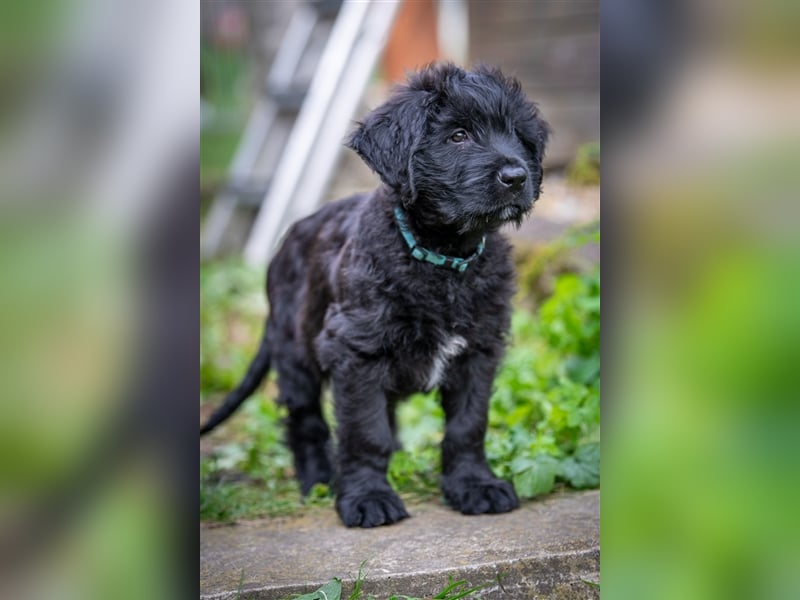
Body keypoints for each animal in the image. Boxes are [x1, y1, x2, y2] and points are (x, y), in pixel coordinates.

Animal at [202, 63, 552, 528]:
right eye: (458, 135)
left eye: (517, 134)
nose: (516, 177)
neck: (443, 260)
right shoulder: (356, 351)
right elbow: (365, 433)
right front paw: (368, 497)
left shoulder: (479, 351)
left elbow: (467, 425)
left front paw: (475, 485)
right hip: (296, 353)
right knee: (306, 423)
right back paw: (319, 480)